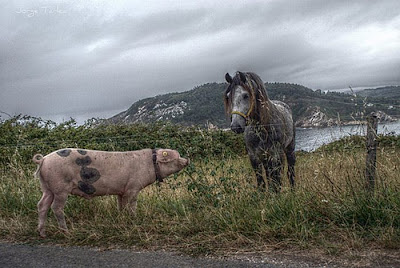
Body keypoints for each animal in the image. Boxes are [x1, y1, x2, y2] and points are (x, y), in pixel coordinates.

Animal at [32, 148, 189, 238]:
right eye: (176, 157)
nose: (187, 160)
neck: (151, 163)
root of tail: (43, 159)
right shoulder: (133, 187)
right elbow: (132, 204)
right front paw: (134, 219)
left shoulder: (121, 191)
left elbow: (121, 205)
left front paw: (122, 218)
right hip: (60, 188)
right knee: (56, 207)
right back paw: (67, 232)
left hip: (47, 187)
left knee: (42, 205)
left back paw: (42, 234)